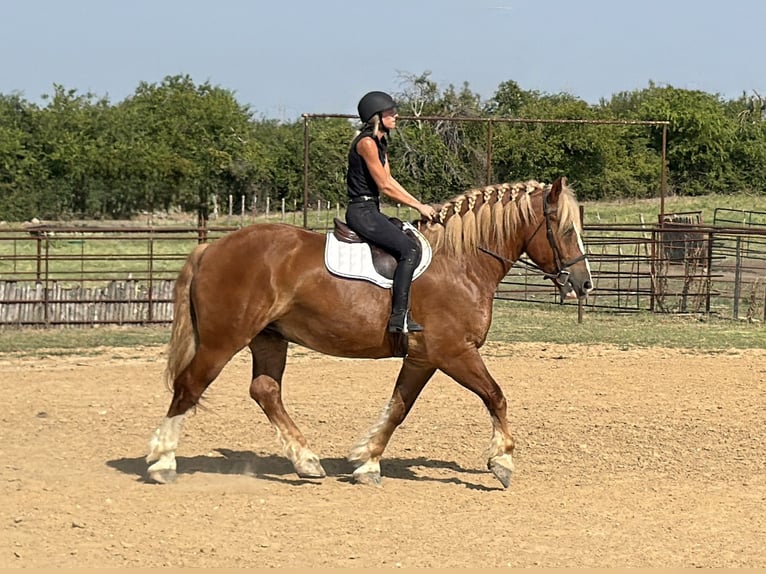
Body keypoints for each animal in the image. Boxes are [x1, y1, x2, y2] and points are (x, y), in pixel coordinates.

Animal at [146, 176, 593, 488]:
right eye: (565, 230)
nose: (584, 283)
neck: (460, 262)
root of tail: (211, 248)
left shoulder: (423, 357)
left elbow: (398, 408)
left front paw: (367, 461)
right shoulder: (454, 352)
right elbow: (496, 396)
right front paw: (502, 461)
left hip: (269, 338)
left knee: (265, 391)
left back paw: (307, 462)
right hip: (223, 339)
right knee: (189, 386)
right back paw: (163, 461)